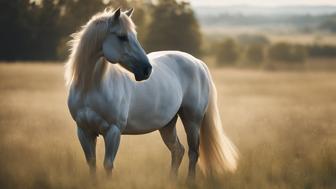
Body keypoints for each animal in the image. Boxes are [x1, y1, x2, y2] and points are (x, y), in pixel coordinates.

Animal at [65, 8, 238, 181]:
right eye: (122, 37)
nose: (146, 69)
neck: (91, 87)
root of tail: (198, 63)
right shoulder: (84, 131)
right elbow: (91, 163)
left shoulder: (113, 131)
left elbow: (108, 165)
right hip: (168, 124)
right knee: (178, 150)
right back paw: (171, 180)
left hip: (192, 120)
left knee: (193, 152)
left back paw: (190, 181)